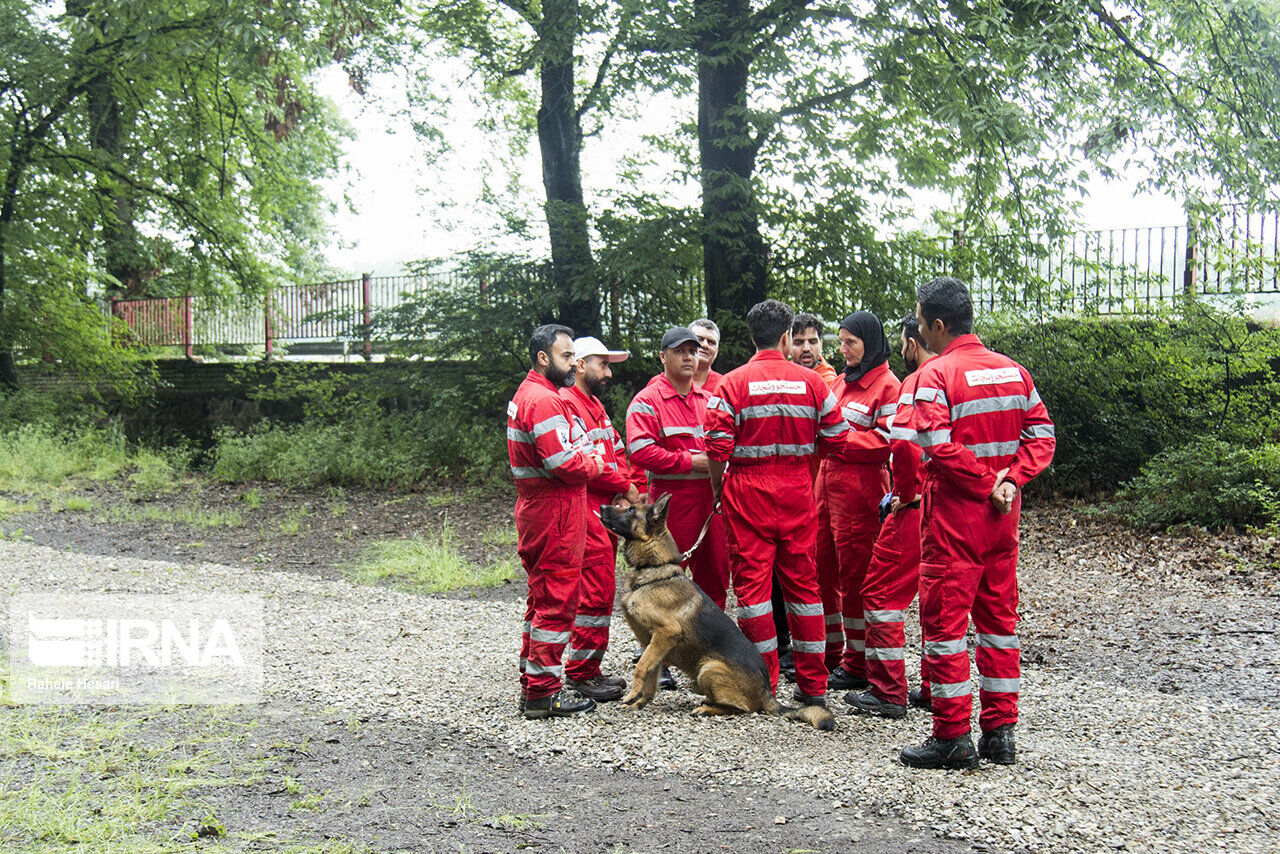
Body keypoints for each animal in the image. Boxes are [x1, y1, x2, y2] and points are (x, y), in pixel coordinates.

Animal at [601, 496, 834, 732]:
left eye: (631, 510)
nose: (601, 507)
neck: (655, 569)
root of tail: (767, 692)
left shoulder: (666, 633)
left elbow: (640, 667)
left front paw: (631, 694)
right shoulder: (654, 644)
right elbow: (650, 674)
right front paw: (639, 702)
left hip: (709, 668)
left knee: (742, 708)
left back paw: (707, 708)